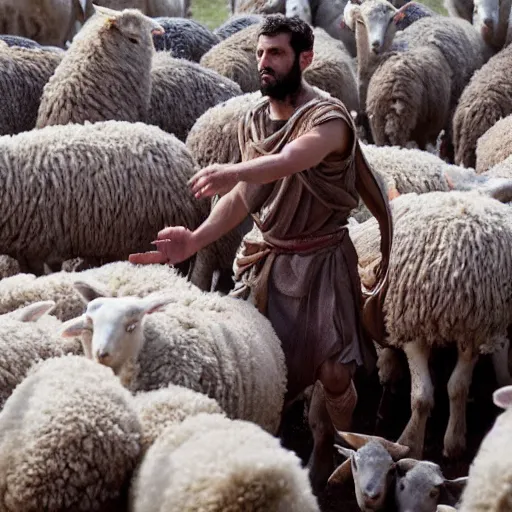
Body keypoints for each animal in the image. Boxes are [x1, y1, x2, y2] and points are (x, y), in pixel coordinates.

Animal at [348, 189, 512, 460]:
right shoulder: (470, 333)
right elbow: (456, 387)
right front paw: (453, 442)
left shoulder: (412, 327)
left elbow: (424, 396)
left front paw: (412, 444)